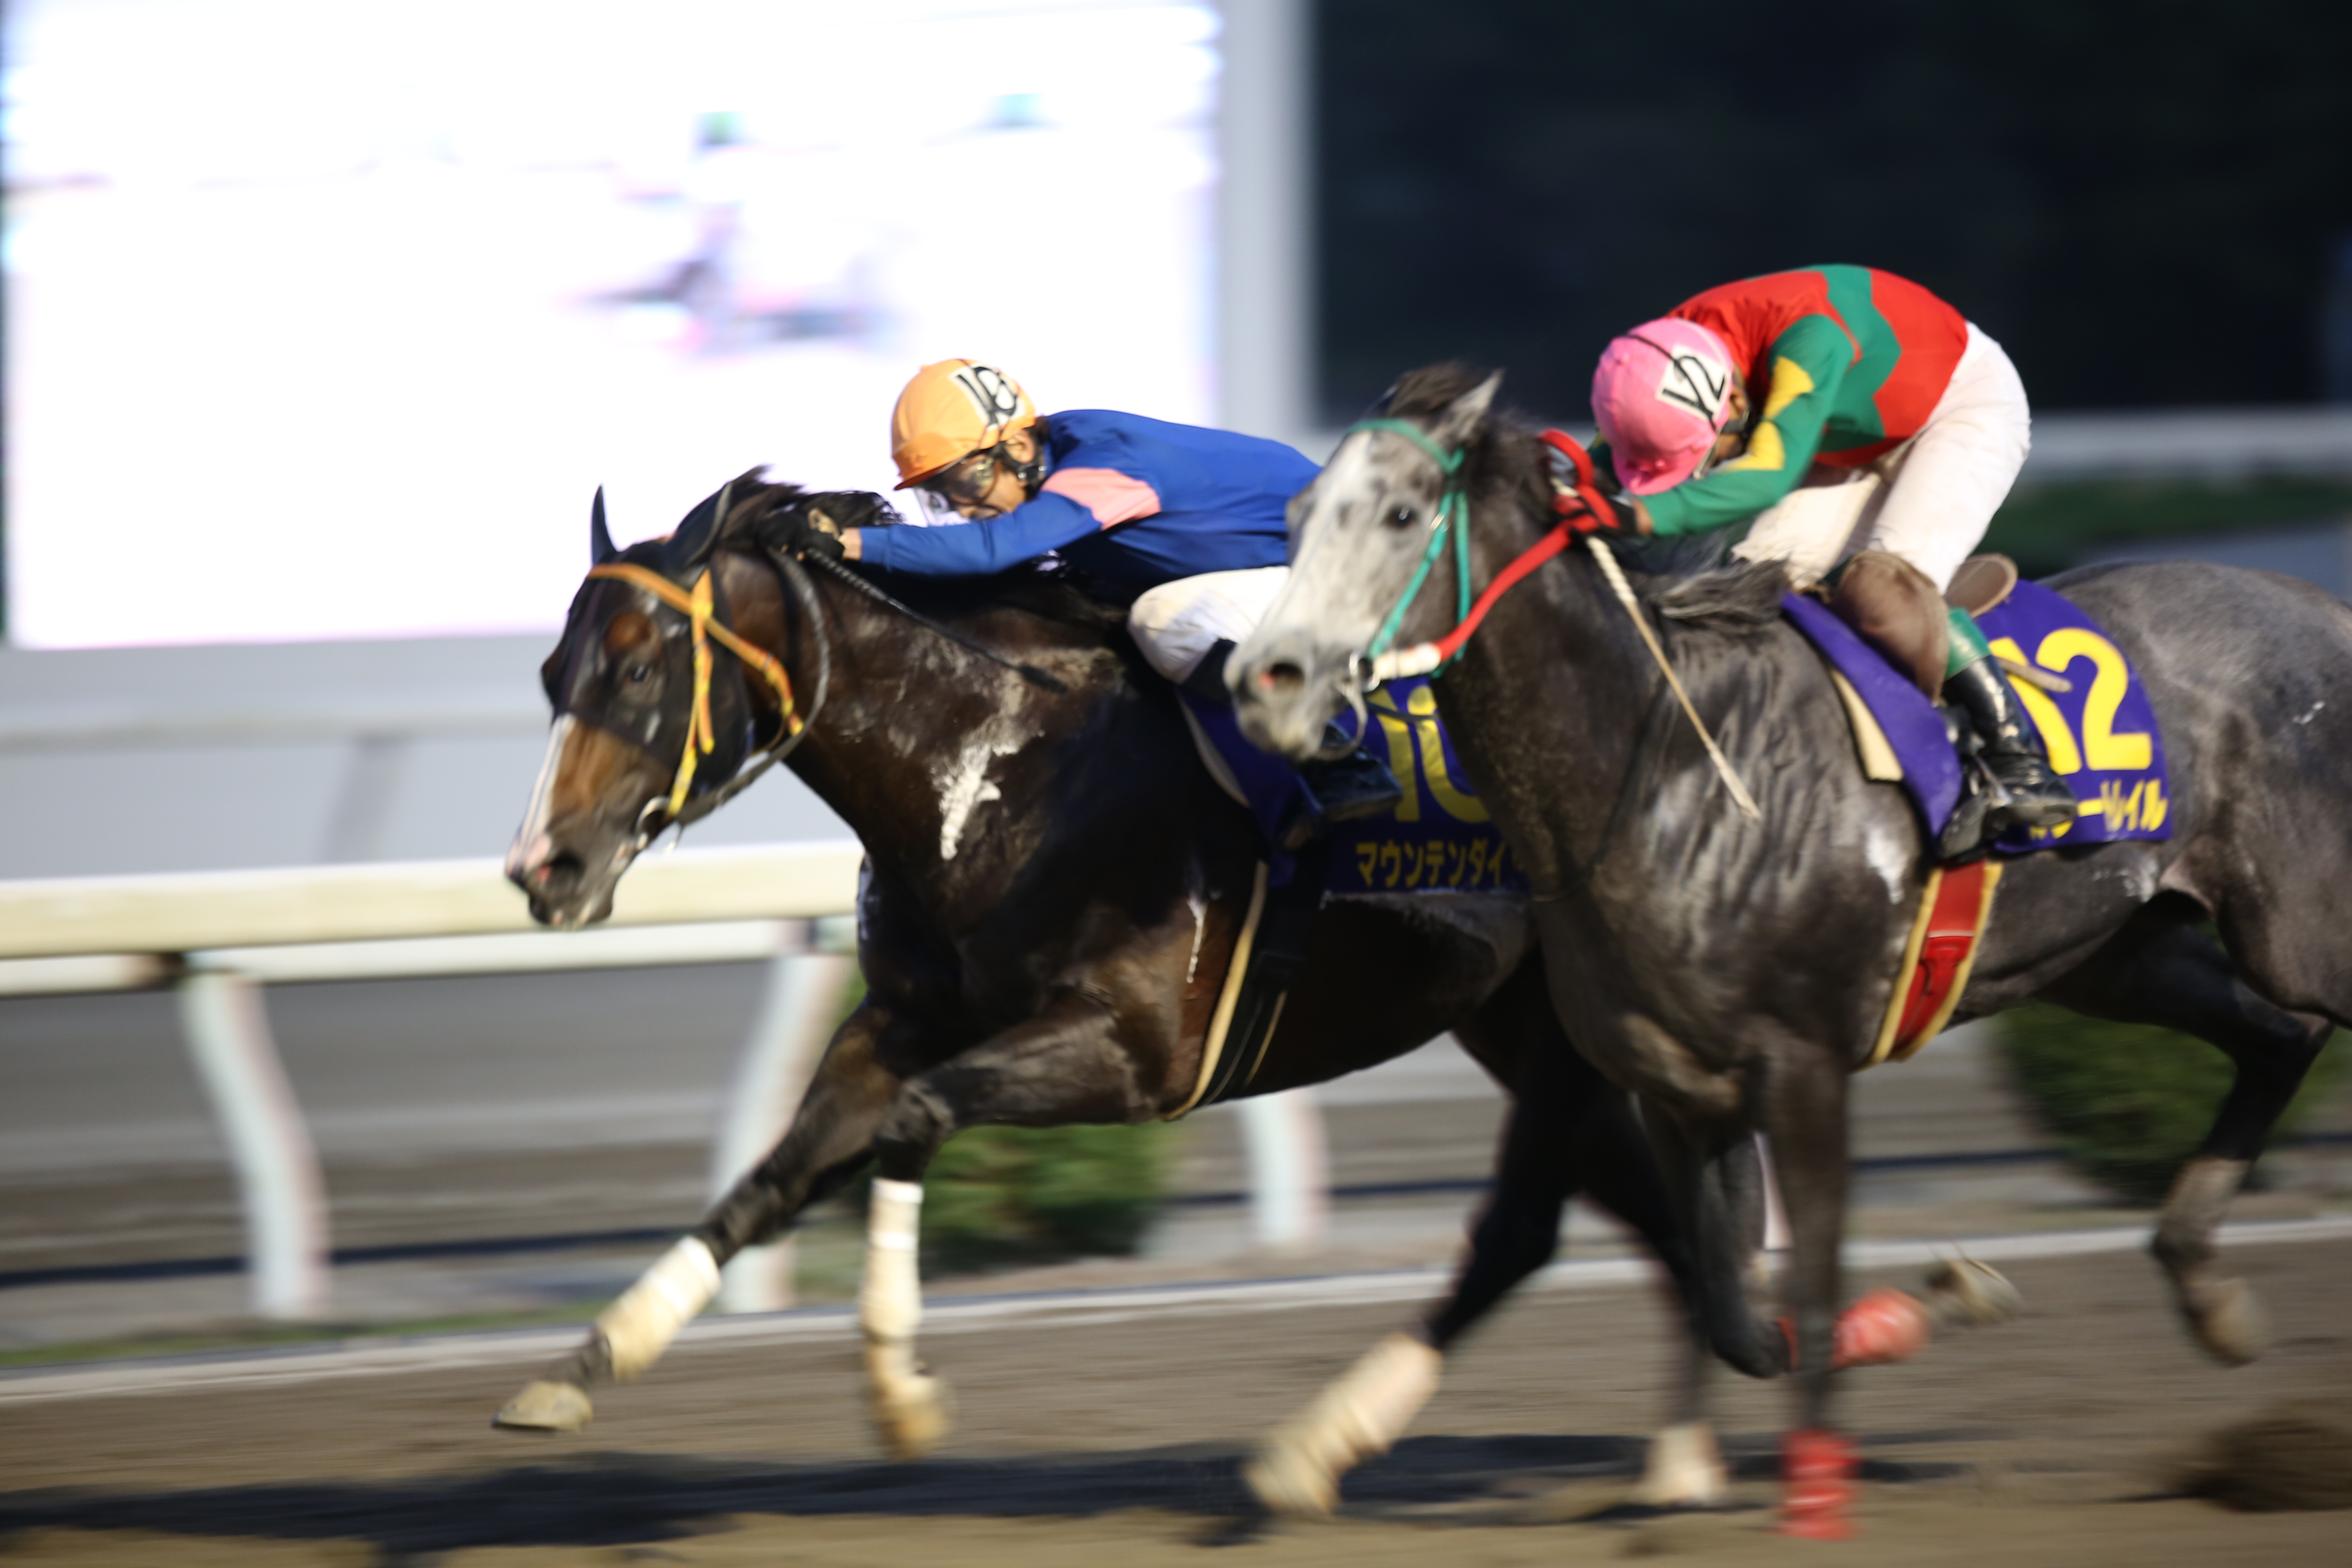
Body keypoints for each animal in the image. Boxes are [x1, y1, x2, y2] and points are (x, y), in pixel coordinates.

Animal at [487, 471, 1786, 1511]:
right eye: (551, 670)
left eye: (638, 666)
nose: (543, 870)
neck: (1006, 764)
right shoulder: (899, 1021)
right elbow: (772, 1179)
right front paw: (578, 1369)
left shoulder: (1137, 1052)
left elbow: (916, 1120)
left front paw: (901, 1391)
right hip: (1523, 1020)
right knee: (1629, 1214)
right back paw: (1684, 1446)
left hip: (1572, 1019)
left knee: (1536, 1222)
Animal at [1228, 364, 2352, 1535]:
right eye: (1298, 518)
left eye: (1402, 515)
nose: (1268, 680)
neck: (1664, 770)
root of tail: (2327, 606)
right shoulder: (1679, 1088)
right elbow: (1738, 1312)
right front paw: (1919, 1308)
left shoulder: (1804, 1067)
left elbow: (1804, 1285)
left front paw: (1815, 1488)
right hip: (2120, 955)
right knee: (2277, 1037)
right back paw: (2206, 1292)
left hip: (2297, 928)